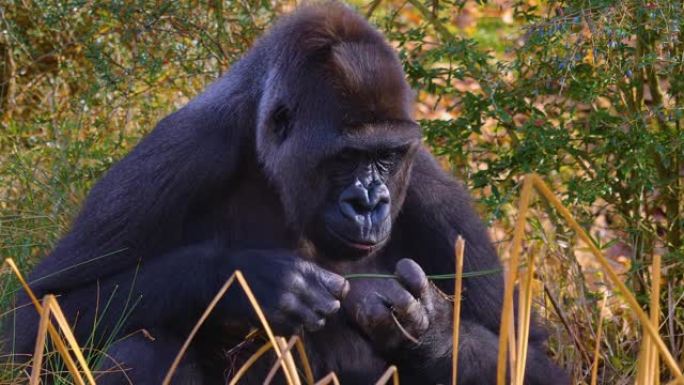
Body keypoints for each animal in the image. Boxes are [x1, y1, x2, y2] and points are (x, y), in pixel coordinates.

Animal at [4, 3, 568, 384]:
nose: (369, 203)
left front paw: (425, 326)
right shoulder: (181, 153)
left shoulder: (433, 192)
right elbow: (30, 322)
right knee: (138, 343)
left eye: (386, 157)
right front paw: (250, 280)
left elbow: (534, 356)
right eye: (346, 159)